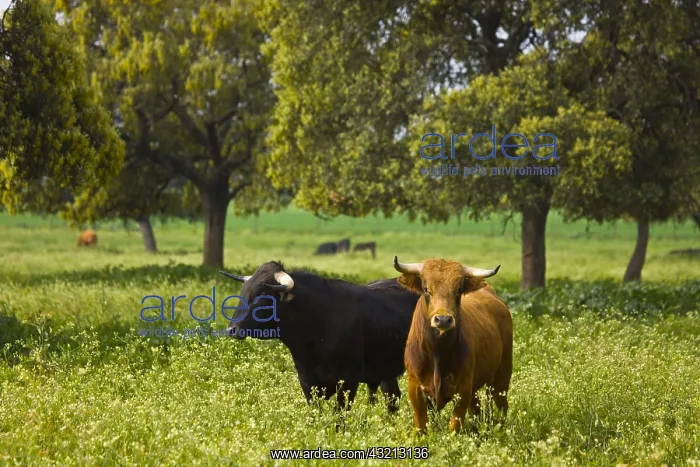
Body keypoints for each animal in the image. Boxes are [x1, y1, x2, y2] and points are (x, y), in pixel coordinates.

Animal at [219, 261, 419, 414]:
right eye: (243, 291)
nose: (232, 329)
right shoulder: (307, 380)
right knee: (392, 397)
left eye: (262, 295)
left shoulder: (348, 379)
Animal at [393, 256, 512, 434]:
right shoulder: (415, 389)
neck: (438, 353)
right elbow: (421, 425)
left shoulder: (463, 391)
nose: (443, 320)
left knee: (501, 405)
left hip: (502, 378)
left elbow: (454, 425)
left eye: (459, 289)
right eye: (426, 288)